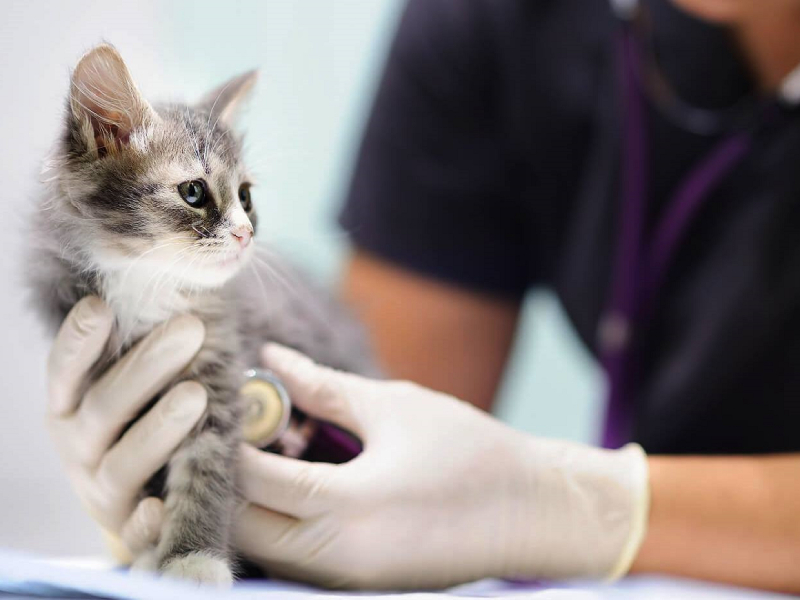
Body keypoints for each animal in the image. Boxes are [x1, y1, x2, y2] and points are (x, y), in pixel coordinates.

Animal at [24, 44, 376, 584]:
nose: (245, 234)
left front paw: (192, 558)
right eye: (194, 192)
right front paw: (152, 548)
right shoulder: (104, 375)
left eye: (246, 197)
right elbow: (146, 472)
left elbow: (203, 477)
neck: (148, 286)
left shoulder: (219, 371)